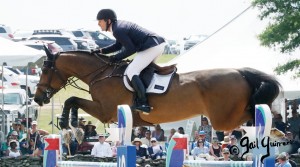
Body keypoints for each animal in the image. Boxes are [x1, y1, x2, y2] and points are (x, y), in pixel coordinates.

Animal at [33, 47, 282, 131]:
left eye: (44, 70)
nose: (37, 99)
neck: (100, 74)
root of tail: (240, 72)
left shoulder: (106, 111)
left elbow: (72, 99)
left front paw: (68, 121)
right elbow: (73, 100)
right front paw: (71, 121)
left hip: (223, 120)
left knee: (257, 114)